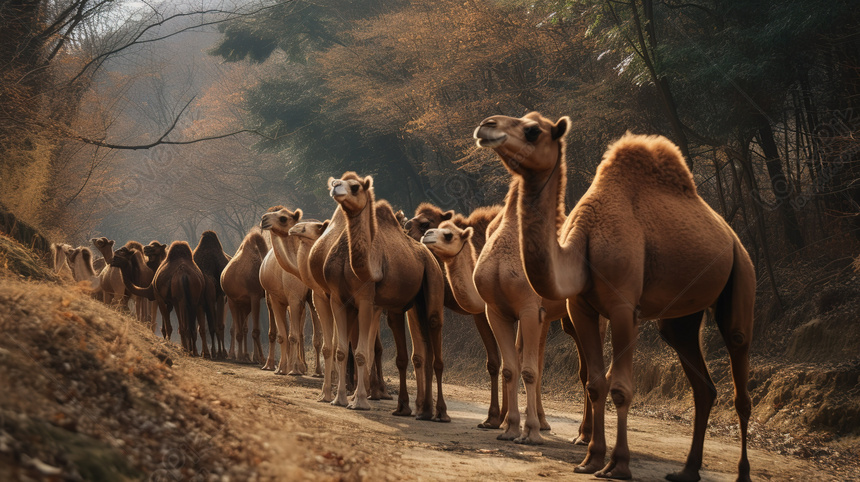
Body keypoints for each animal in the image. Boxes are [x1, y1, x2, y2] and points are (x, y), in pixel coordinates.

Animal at [193, 232, 230, 360]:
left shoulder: (219, 296)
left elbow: (218, 325)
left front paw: (219, 353)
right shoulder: (202, 302)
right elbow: (203, 328)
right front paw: (208, 353)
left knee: (218, 324)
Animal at [220, 228, 268, 364]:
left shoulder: (257, 298)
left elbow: (250, 330)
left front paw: (255, 357)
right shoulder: (251, 297)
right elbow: (254, 331)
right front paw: (262, 359)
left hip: (244, 305)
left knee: (243, 328)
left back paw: (245, 356)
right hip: (235, 302)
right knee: (241, 330)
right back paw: (241, 356)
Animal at [324, 173, 450, 418]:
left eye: (355, 187)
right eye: (336, 182)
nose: (336, 188)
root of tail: (429, 257)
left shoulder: (366, 298)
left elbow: (362, 352)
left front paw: (359, 402)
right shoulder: (337, 299)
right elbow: (342, 351)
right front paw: (339, 399)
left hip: (433, 283)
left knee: (434, 334)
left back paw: (440, 413)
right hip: (411, 304)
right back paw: (420, 410)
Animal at [404, 201, 508, 428]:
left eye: (425, 223)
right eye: (411, 221)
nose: (405, 227)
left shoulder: (480, 311)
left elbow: (496, 361)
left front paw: (494, 418)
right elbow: (423, 354)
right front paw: (424, 409)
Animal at [474, 113, 756, 482]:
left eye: (533, 131)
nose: (486, 125)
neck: (583, 242)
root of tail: (732, 235)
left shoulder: (624, 308)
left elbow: (620, 388)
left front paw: (618, 465)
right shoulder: (579, 308)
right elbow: (595, 383)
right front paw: (591, 460)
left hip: (741, 275)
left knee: (740, 369)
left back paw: (742, 473)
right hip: (681, 316)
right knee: (701, 384)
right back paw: (687, 471)